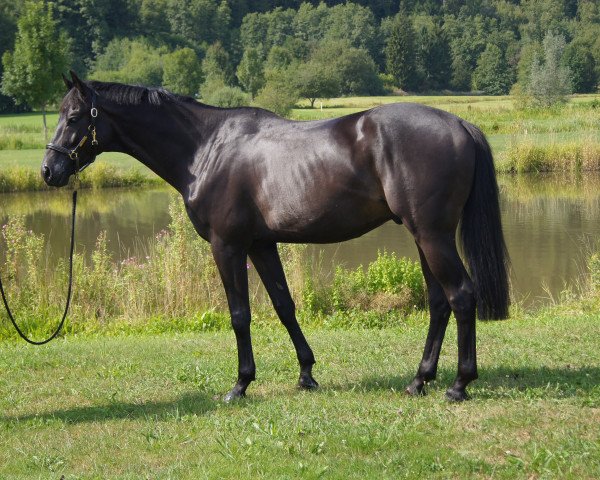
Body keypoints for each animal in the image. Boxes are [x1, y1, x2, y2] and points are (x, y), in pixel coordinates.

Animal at [42, 71, 508, 402]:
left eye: (73, 117)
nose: (49, 171)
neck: (206, 149)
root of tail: (459, 123)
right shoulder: (261, 245)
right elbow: (285, 306)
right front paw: (306, 374)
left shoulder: (227, 246)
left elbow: (240, 314)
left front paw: (240, 385)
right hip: (424, 237)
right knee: (439, 302)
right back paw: (419, 381)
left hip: (433, 236)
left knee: (461, 296)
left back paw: (459, 385)